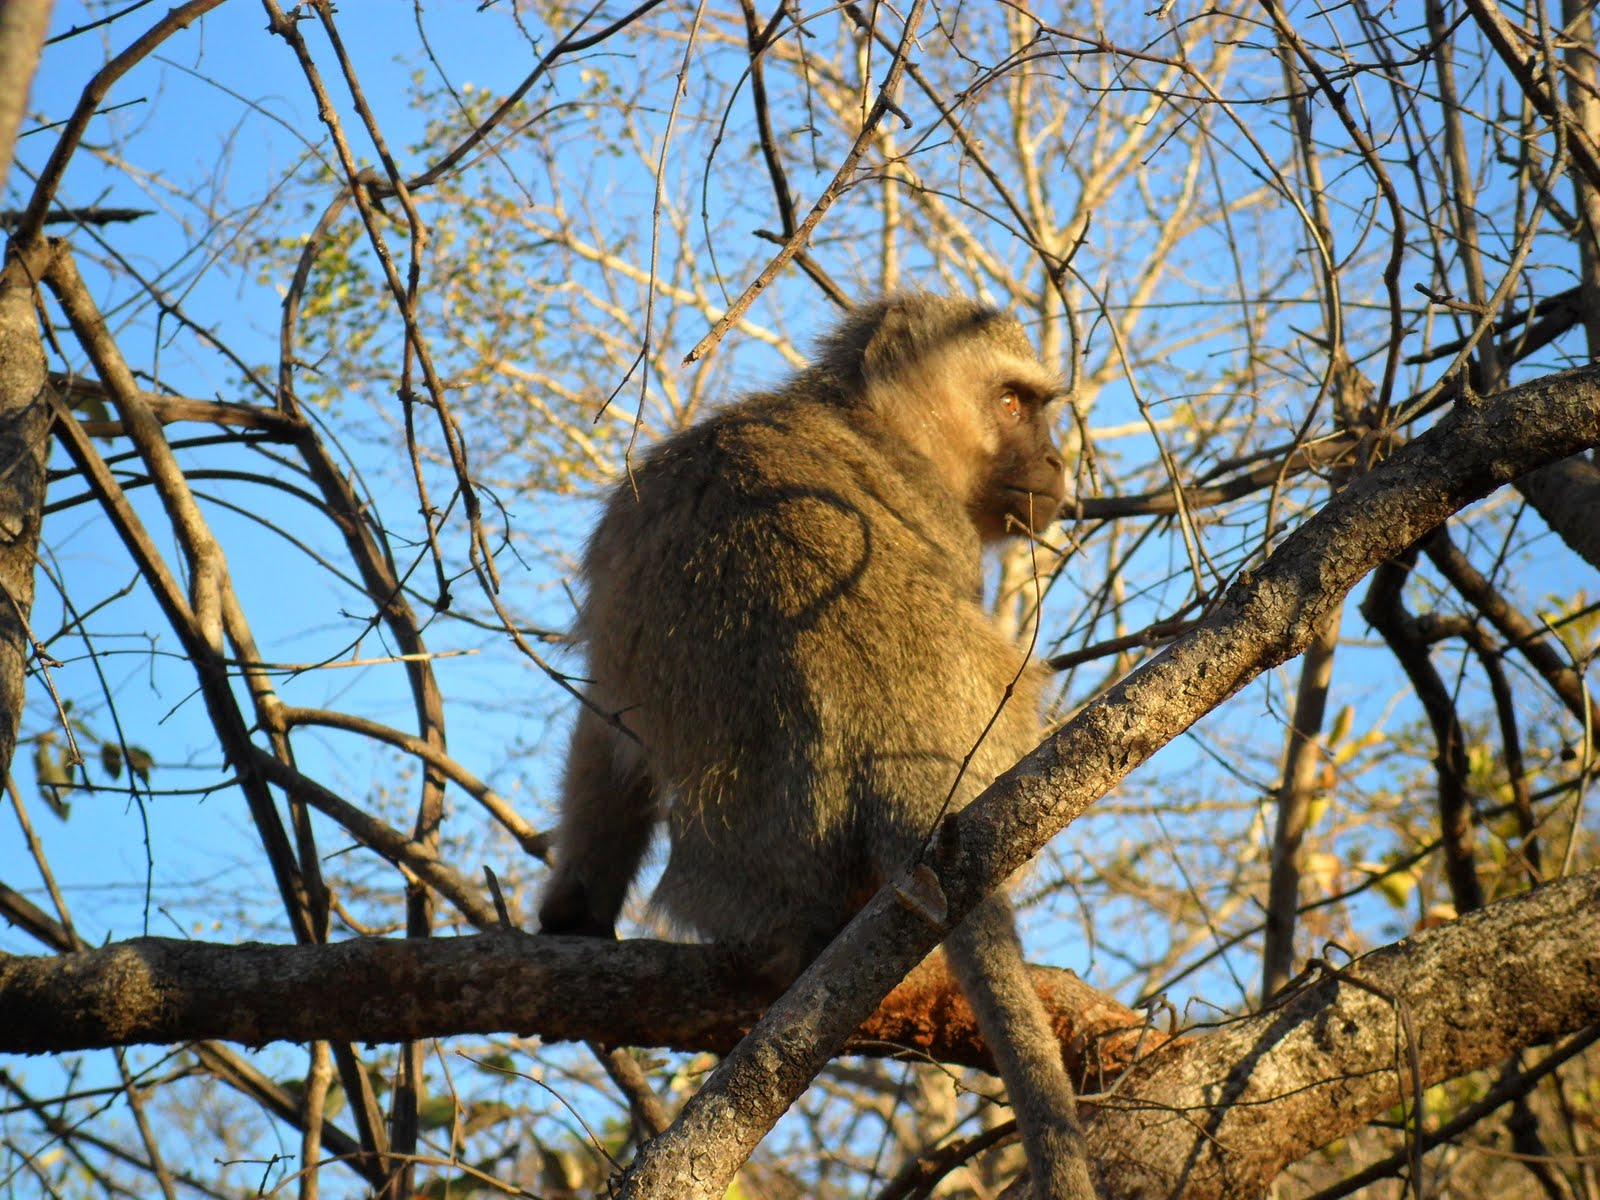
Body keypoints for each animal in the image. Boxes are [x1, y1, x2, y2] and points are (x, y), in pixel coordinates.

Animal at [539, 294, 1096, 1199]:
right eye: (1014, 403)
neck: (869, 422)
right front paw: (574, 915)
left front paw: (575, 915)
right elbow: (609, 729)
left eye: (1037, 407)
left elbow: (609, 726)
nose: (1053, 461)